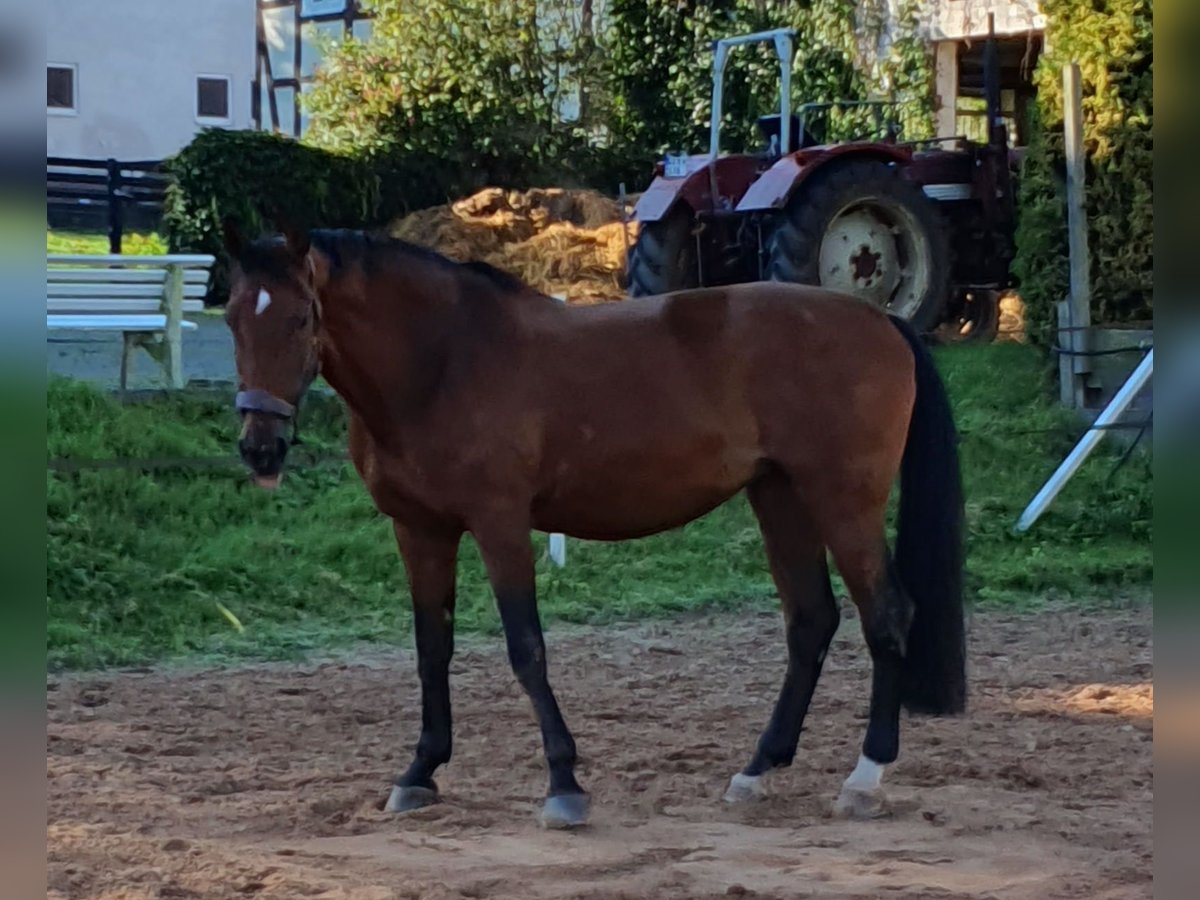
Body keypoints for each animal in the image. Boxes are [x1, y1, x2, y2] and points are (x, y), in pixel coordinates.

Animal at [220, 218, 966, 830]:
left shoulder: (499, 523)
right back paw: (757, 771)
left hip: (843, 501)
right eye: (231, 318)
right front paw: (419, 774)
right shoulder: (420, 531)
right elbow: (432, 650)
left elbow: (526, 648)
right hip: (779, 496)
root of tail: (879, 323)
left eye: (300, 318)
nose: (260, 448)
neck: (442, 361)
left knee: (887, 617)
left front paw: (564, 785)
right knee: (811, 621)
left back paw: (864, 779)